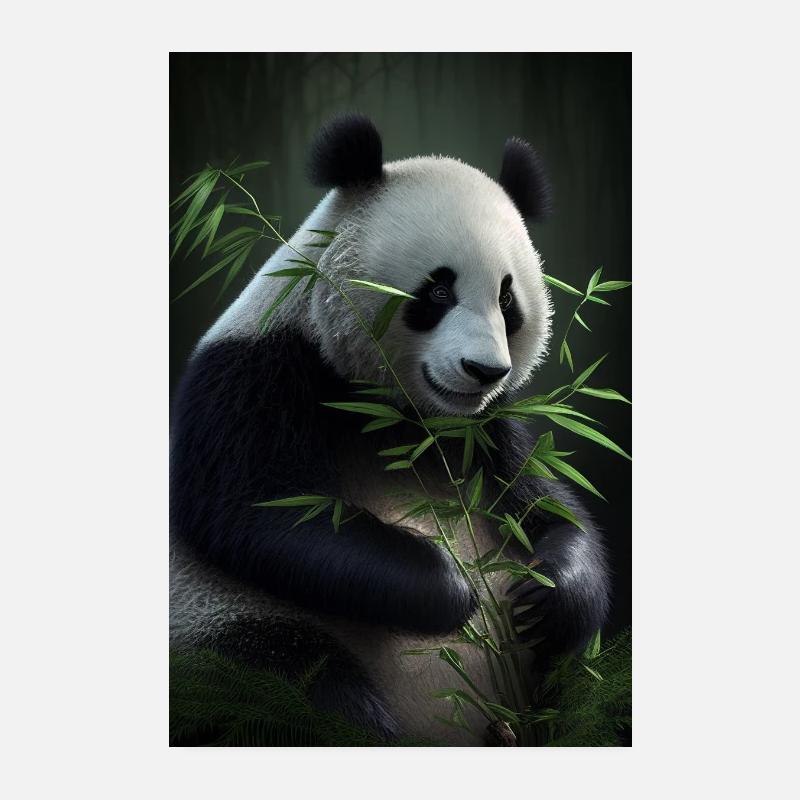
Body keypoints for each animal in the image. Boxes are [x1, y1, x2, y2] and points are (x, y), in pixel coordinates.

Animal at [170, 114, 610, 746]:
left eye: (508, 299)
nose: (484, 371)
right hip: (222, 624)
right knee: (293, 689)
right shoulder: (256, 376)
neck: (407, 418)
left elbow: (546, 505)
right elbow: (262, 514)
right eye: (438, 290)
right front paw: (453, 590)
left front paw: (546, 593)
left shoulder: (487, 432)